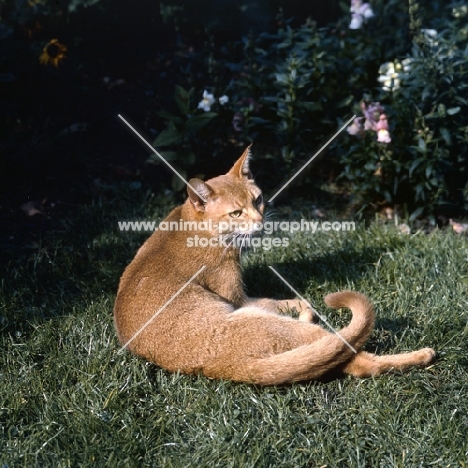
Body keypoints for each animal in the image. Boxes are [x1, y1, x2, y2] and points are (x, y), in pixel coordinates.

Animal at [113, 146, 436, 384]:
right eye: (236, 212)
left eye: (258, 199)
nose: (260, 222)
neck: (191, 222)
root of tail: (229, 369)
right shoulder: (237, 297)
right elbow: (275, 300)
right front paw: (299, 304)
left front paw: (301, 304)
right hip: (272, 325)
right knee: (357, 361)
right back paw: (421, 354)